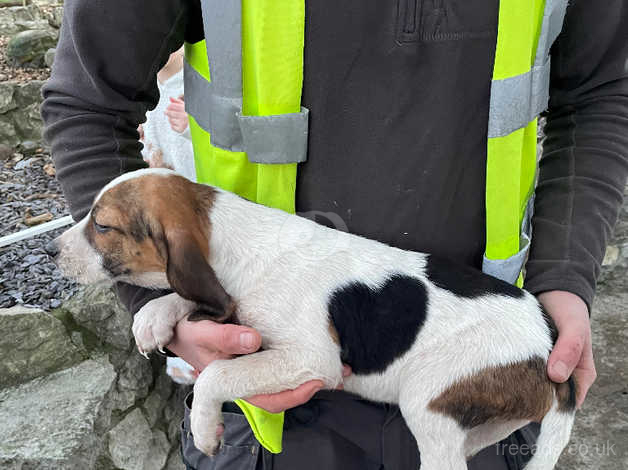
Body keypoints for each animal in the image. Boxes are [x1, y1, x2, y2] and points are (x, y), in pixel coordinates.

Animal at [51, 167, 576, 468]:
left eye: (102, 225)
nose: (51, 250)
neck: (235, 239)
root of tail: (550, 343)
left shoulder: (311, 359)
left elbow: (216, 373)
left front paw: (204, 428)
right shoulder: (223, 296)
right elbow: (198, 298)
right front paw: (155, 315)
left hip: (428, 396)